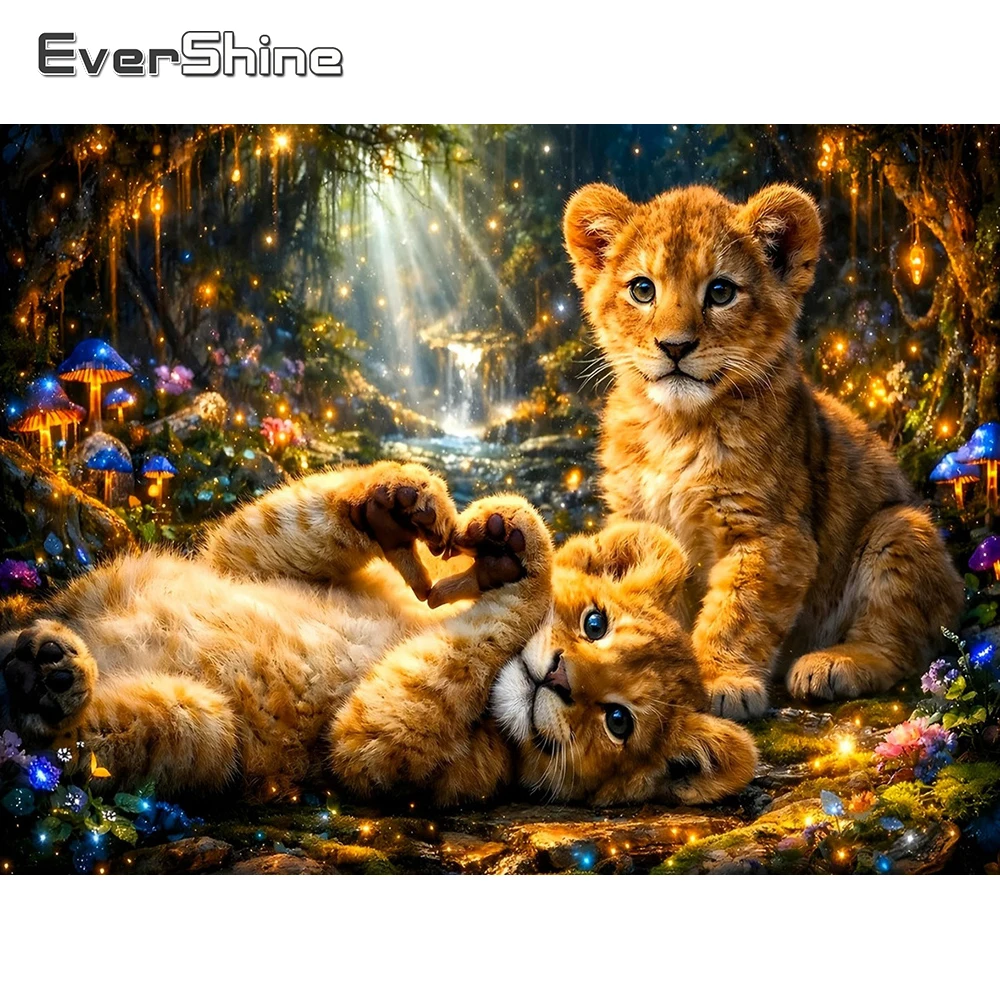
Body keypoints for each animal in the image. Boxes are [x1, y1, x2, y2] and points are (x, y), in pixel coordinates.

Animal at [1, 461, 755, 806]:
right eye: (596, 623)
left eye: (619, 722)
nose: (560, 677)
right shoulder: (238, 559)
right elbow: (280, 522)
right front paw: (408, 504)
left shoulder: (384, 754)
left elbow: (418, 688)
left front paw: (522, 558)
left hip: (204, 725)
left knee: (49, 749)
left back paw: (47, 676)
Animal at [564, 181, 963, 720]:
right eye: (642, 290)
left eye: (721, 292)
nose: (675, 346)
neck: (675, 425)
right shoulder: (637, 521)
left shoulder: (770, 534)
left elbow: (737, 612)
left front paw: (721, 683)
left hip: (900, 529)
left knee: (904, 647)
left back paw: (832, 664)